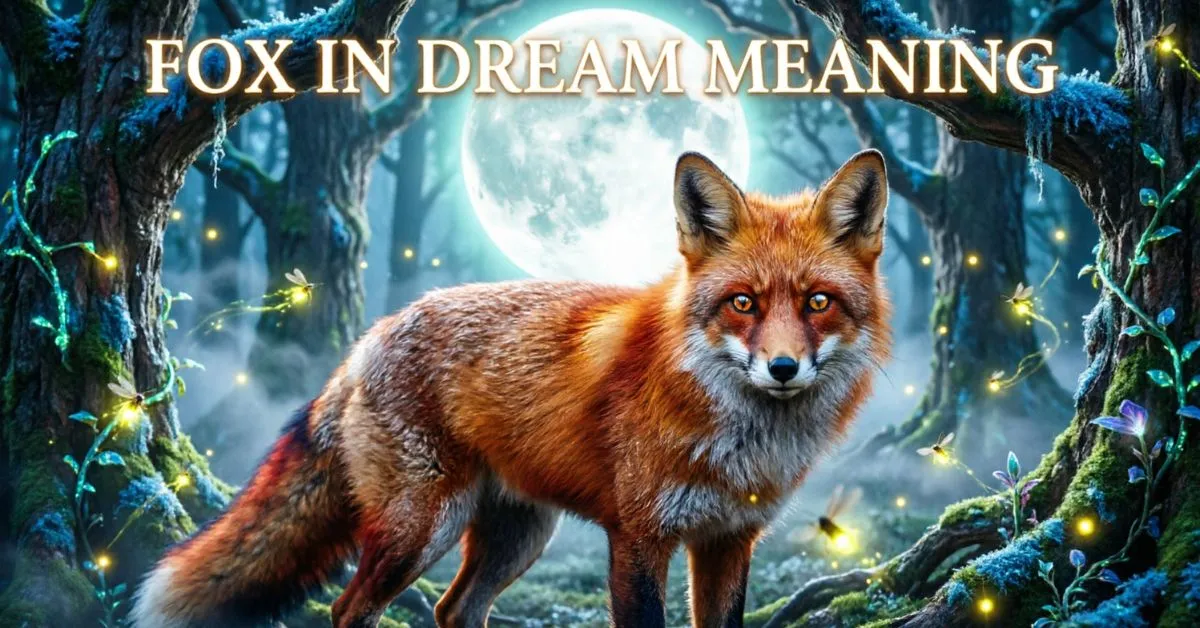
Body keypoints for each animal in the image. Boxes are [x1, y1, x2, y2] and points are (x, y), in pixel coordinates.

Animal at [132, 149, 892, 628]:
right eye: (743, 304)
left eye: (818, 303)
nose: (784, 368)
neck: (740, 443)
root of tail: (370, 336)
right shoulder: (639, 537)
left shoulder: (729, 542)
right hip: (421, 527)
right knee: (352, 608)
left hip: (519, 536)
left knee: (453, 609)